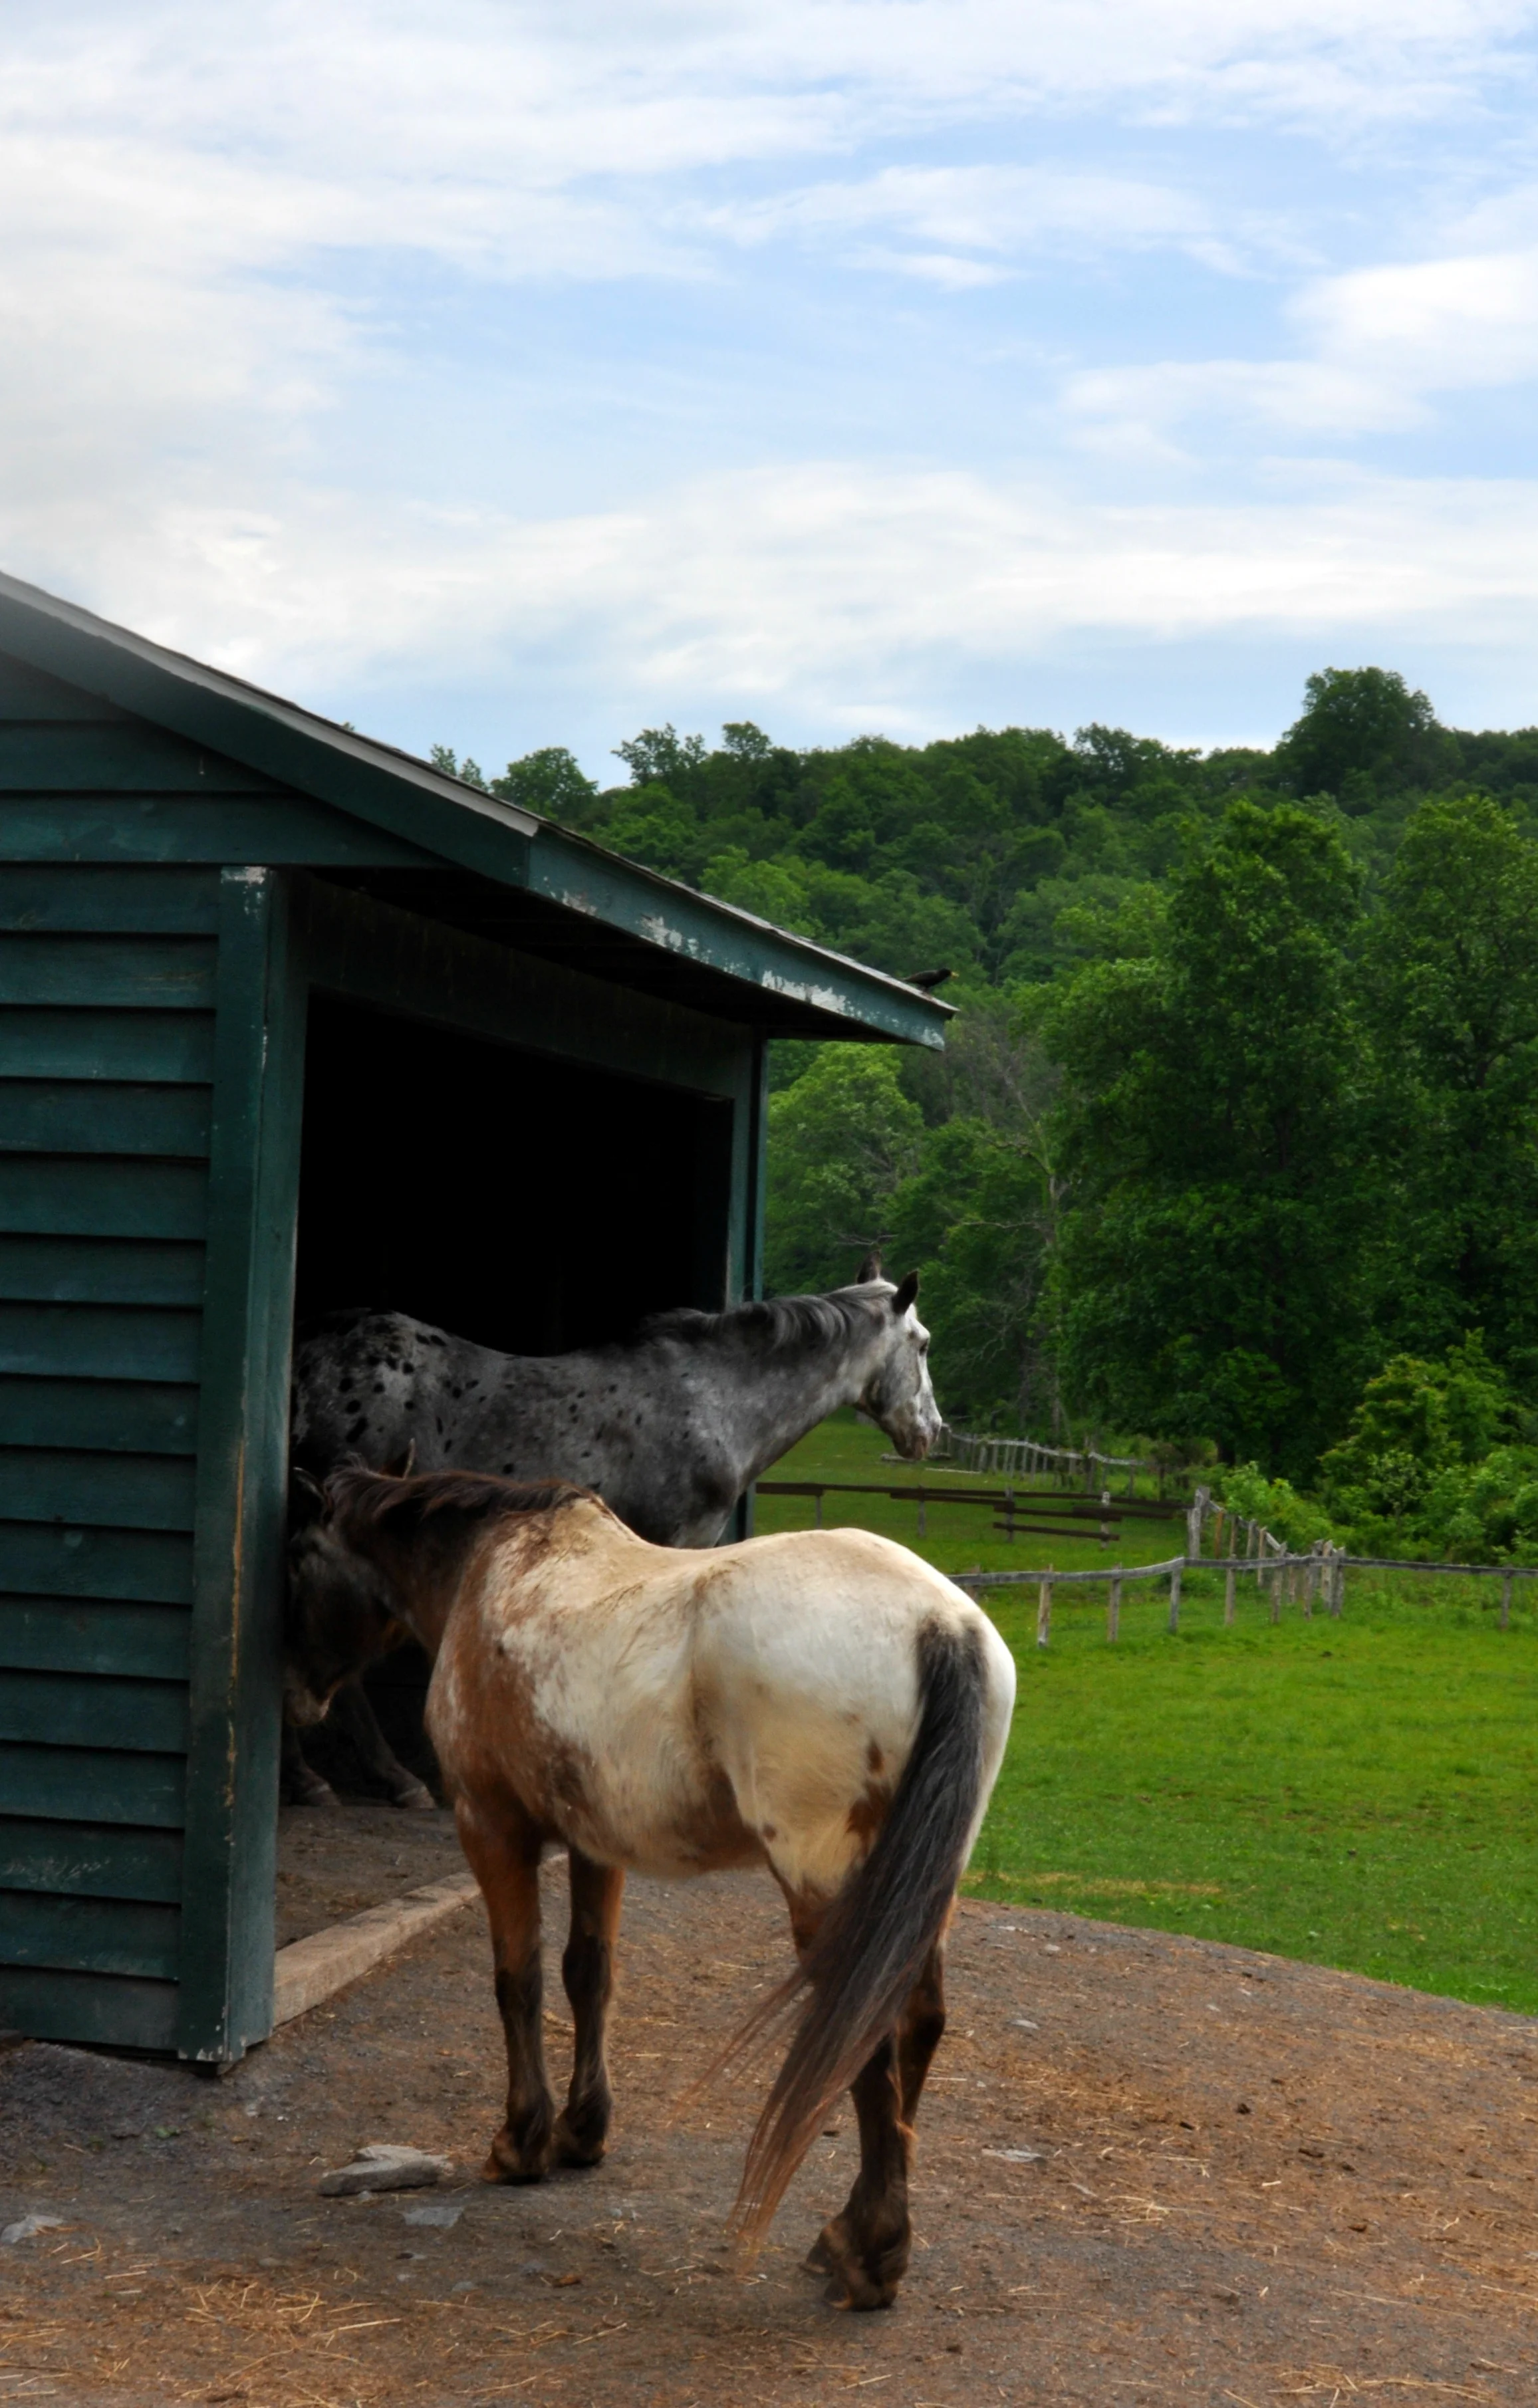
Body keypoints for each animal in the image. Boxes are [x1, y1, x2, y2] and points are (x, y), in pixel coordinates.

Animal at [285, 1467, 1015, 2311]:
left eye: (299, 1555)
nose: (299, 1699)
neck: (496, 1568)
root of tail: (940, 1625)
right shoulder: (596, 1844)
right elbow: (588, 1974)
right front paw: (581, 2132)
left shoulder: (491, 1827)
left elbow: (518, 1979)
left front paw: (521, 2142)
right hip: (923, 1887)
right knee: (917, 2023)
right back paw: (850, 2232)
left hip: (832, 1892)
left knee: (869, 2034)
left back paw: (868, 2256)